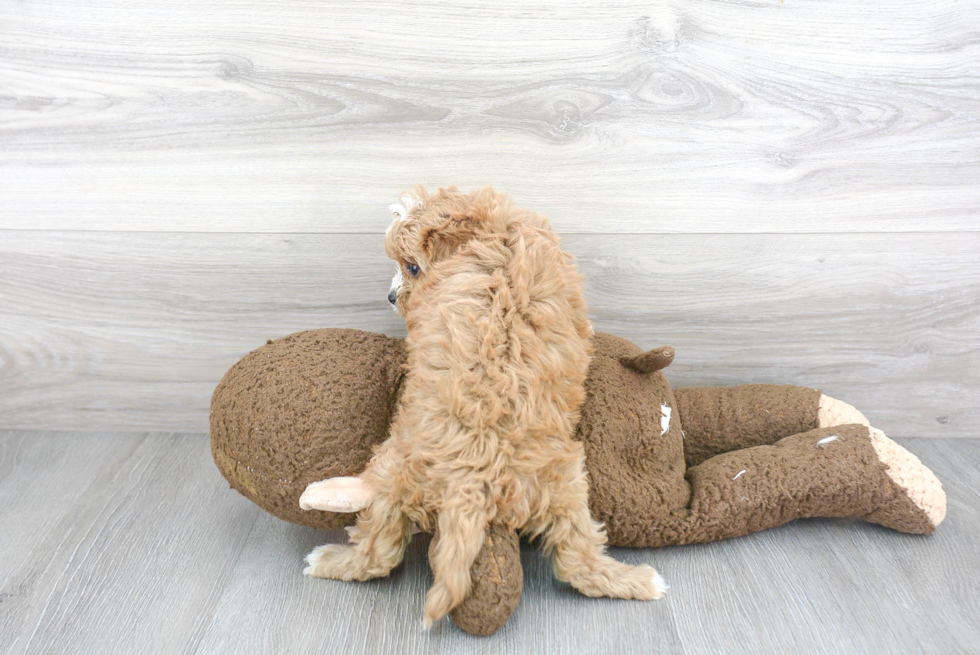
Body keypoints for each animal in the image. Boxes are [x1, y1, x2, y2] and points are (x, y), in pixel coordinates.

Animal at [302, 187, 664, 628]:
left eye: (412, 267)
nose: (390, 297)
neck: (493, 232)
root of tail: (475, 482)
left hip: (396, 463)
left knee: (377, 541)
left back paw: (325, 538)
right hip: (567, 483)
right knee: (579, 563)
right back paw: (638, 581)